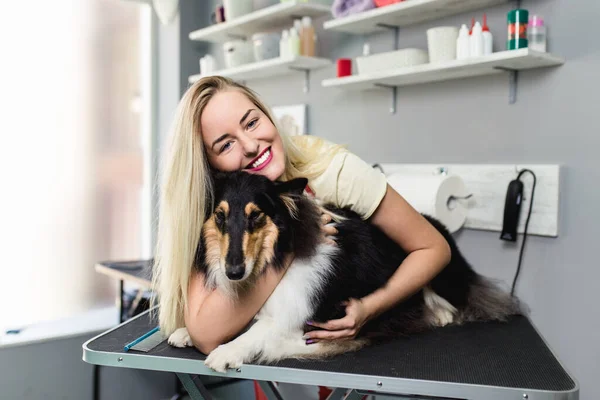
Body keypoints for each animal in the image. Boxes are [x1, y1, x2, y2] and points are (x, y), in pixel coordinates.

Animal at [168, 171, 520, 372]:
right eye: (220, 216)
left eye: (256, 216)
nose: (233, 272)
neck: (277, 254)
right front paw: (185, 331)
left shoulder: (291, 318)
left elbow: (258, 331)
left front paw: (227, 351)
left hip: (443, 271)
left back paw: (441, 313)